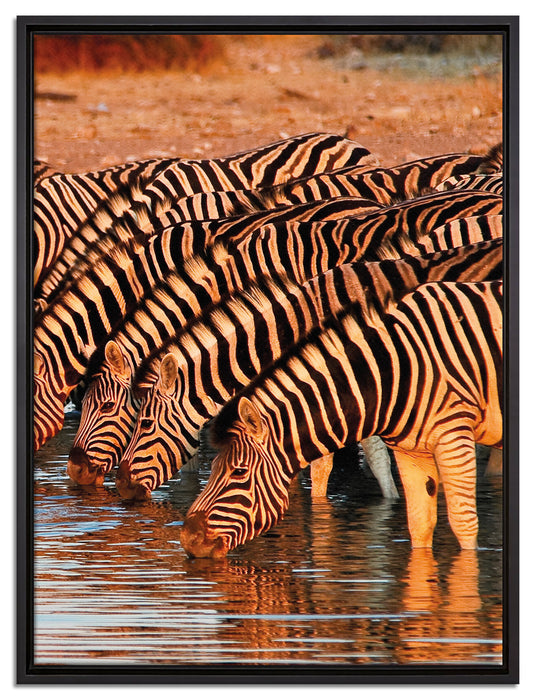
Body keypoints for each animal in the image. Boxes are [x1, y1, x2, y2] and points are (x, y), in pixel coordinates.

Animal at [179, 280, 503, 558]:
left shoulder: (454, 435)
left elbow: (463, 523)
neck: (388, 372)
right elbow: (419, 525)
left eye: (238, 472)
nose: (187, 539)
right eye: (214, 468)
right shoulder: (411, 451)